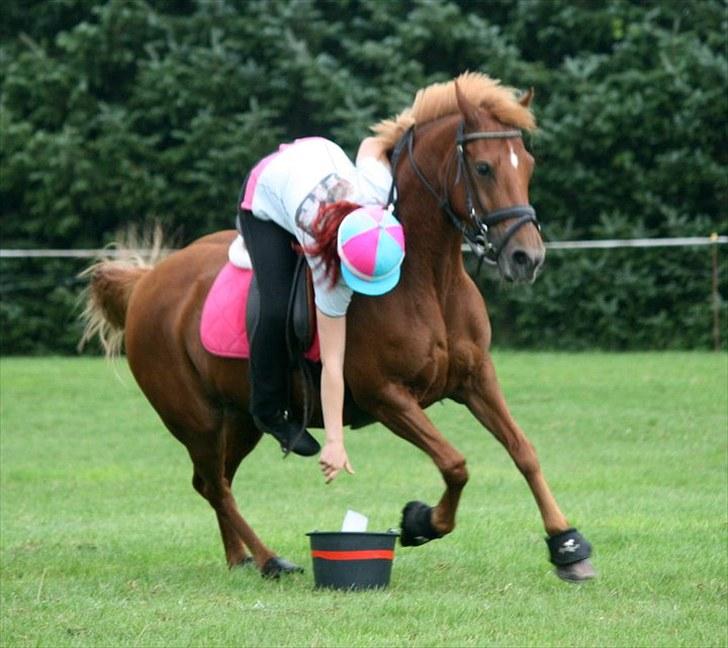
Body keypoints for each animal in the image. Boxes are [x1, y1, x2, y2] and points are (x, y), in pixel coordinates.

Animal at [81, 72, 595, 582]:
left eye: (528, 166)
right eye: (484, 168)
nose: (527, 257)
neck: (428, 278)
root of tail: (146, 284)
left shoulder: (475, 378)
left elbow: (523, 450)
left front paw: (566, 545)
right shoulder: (386, 395)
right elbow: (455, 463)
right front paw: (421, 522)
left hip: (239, 417)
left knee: (213, 480)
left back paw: (239, 557)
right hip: (197, 420)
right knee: (214, 485)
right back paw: (269, 559)